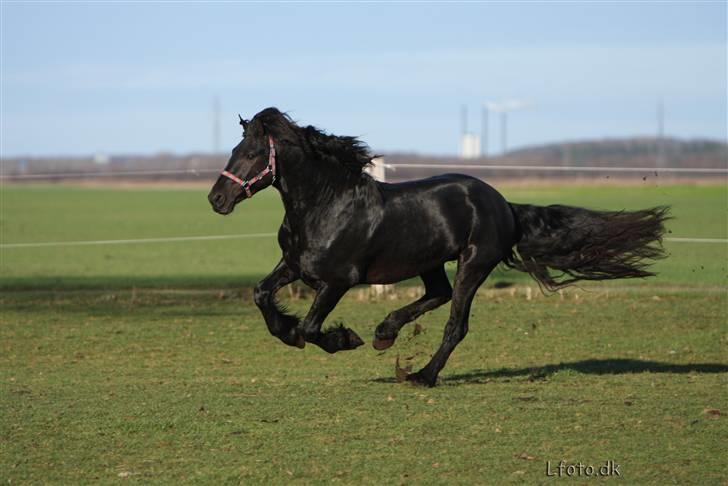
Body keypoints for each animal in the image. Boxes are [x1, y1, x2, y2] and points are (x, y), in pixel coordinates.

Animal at [208, 107, 668, 388]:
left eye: (252, 153)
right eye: (235, 149)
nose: (216, 199)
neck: (326, 205)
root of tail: (504, 205)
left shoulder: (338, 280)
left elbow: (310, 327)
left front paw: (345, 339)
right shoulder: (294, 265)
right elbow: (261, 295)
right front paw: (287, 331)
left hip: (473, 264)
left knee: (455, 323)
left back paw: (421, 375)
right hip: (429, 261)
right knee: (438, 294)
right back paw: (385, 333)